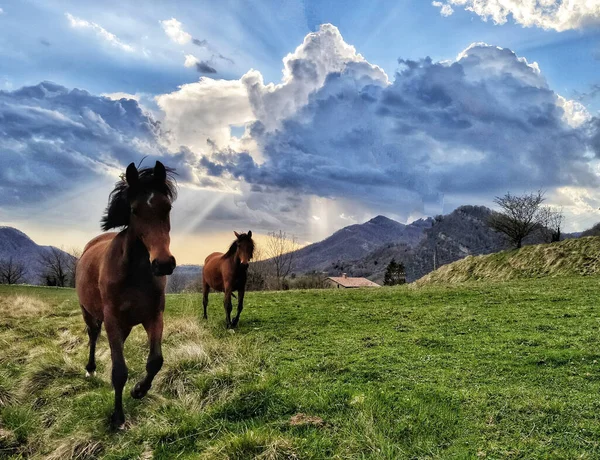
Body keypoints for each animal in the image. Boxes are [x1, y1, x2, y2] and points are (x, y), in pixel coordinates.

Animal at [75, 161, 176, 428]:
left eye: (167, 207)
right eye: (134, 210)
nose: (163, 264)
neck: (134, 273)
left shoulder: (154, 316)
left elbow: (155, 361)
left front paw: (139, 390)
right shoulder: (111, 319)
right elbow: (119, 371)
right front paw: (118, 418)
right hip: (88, 312)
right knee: (92, 335)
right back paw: (90, 368)